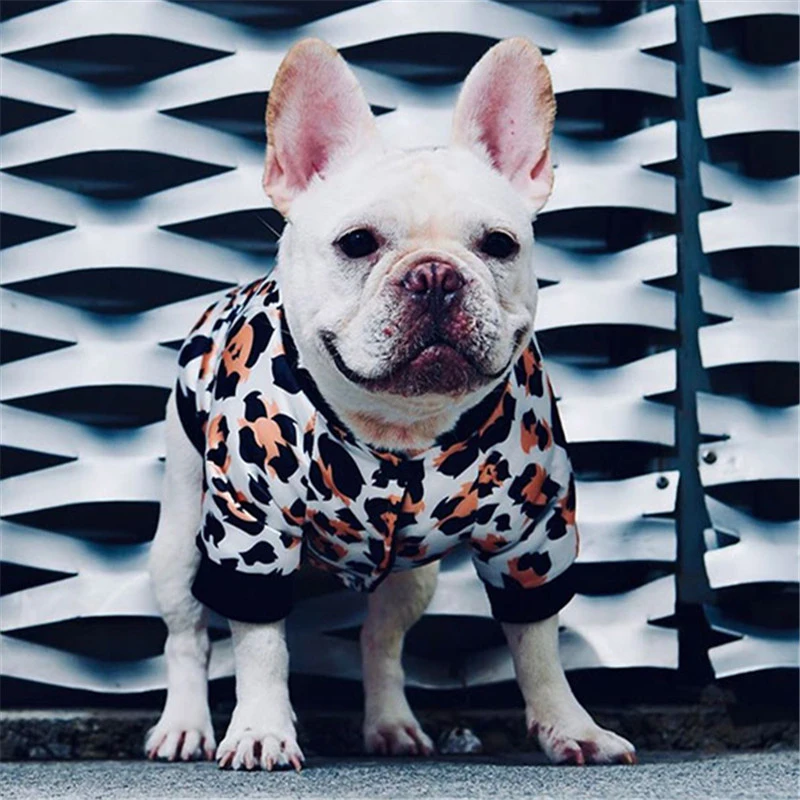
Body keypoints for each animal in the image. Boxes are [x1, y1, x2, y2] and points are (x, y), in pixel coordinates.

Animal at [144, 37, 637, 771]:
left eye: (499, 244)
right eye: (357, 243)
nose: (434, 276)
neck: (398, 427)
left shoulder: (531, 539)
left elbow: (538, 645)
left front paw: (569, 726)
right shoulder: (251, 531)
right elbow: (260, 646)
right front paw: (261, 729)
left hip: (413, 579)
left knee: (382, 639)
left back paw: (392, 724)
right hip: (179, 539)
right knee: (187, 634)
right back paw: (183, 725)